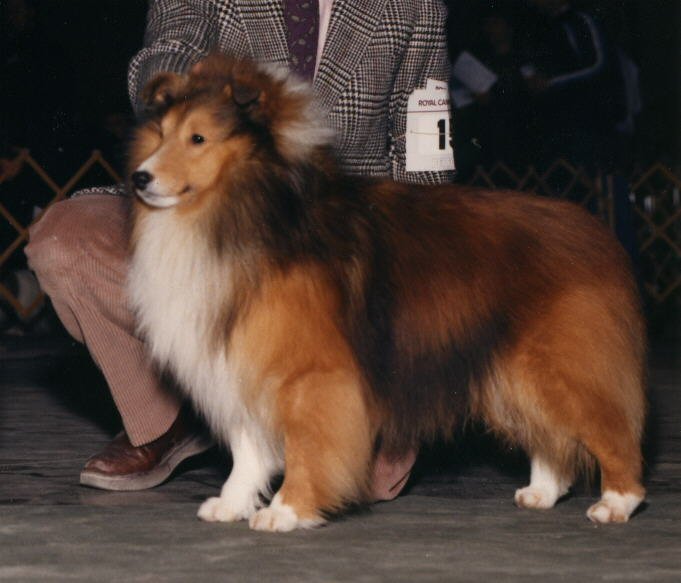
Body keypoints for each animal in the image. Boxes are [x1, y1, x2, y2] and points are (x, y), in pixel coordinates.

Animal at [127, 54, 646, 532]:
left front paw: (288, 509)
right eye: (161, 135)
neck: (258, 211)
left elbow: (306, 441)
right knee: (550, 435)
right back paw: (542, 492)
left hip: (559, 364)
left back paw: (616, 502)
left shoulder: (309, 371)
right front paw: (233, 503)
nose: (140, 178)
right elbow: (248, 446)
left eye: (198, 138)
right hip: (511, 373)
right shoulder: (243, 357)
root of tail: (595, 232)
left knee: (610, 429)